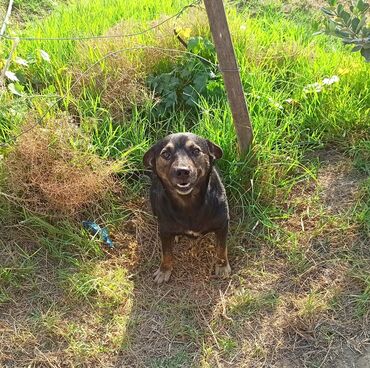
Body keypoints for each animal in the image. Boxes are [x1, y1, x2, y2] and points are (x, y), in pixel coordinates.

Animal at [143, 133, 230, 284]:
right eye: (166, 154)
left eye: (195, 151)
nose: (182, 171)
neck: (189, 203)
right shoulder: (164, 231)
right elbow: (166, 253)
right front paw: (164, 270)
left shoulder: (222, 224)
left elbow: (221, 248)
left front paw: (222, 266)